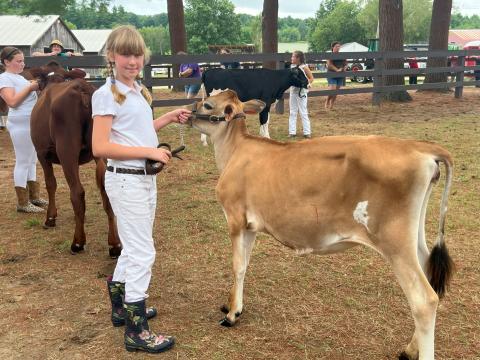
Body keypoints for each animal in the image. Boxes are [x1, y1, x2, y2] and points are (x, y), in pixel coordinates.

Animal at [29, 63, 121, 258]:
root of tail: (83, 89)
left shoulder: (41, 153)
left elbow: (50, 184)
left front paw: (50, 217)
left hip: (67, 151)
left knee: (77, 192)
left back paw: (77, 242)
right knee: (106, 189)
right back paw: (115, 244)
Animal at [187, 89, 454, 360]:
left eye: (208, 104)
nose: (188, 112)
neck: (235, 151)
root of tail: (418, 146)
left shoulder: (235, 218)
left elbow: (237, 265)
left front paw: (231, 315)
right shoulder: (251, 225)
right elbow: (245, 265)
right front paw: (233, 305)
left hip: (394, 242)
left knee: (424, 300)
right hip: (413, 238)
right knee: (429, 274)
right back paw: (410, 349)